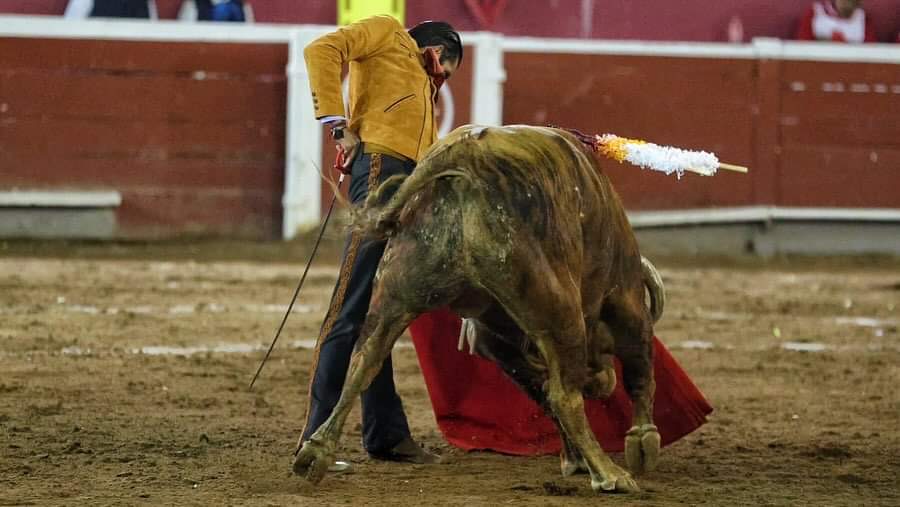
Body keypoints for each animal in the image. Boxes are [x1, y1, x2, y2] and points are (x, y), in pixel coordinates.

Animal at [294, 125, 660, 494]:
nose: (602, 383)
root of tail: (464, 153)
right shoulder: (624, 297)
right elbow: (638, 369)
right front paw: (642, 442)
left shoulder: (495, 341)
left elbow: (541, 390)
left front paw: (574, 459)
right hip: (561, 309)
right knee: (565, 396)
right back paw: (611, 474)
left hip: (396, 292)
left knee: (364, 360)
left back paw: (315, 452)